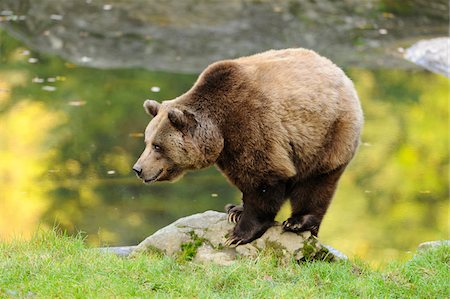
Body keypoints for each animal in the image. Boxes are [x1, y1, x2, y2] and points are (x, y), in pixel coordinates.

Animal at [133, 48, 362, 246]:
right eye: (147, 142)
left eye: (157, 146)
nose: (138, 169)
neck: (220, 130)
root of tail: (339, 72)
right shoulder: (228, 150)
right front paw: (236, 210)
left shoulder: (251, 123)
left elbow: (262, 178)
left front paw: (238, 234)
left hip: (327, 136)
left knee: (316, 182)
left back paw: (298, 221)